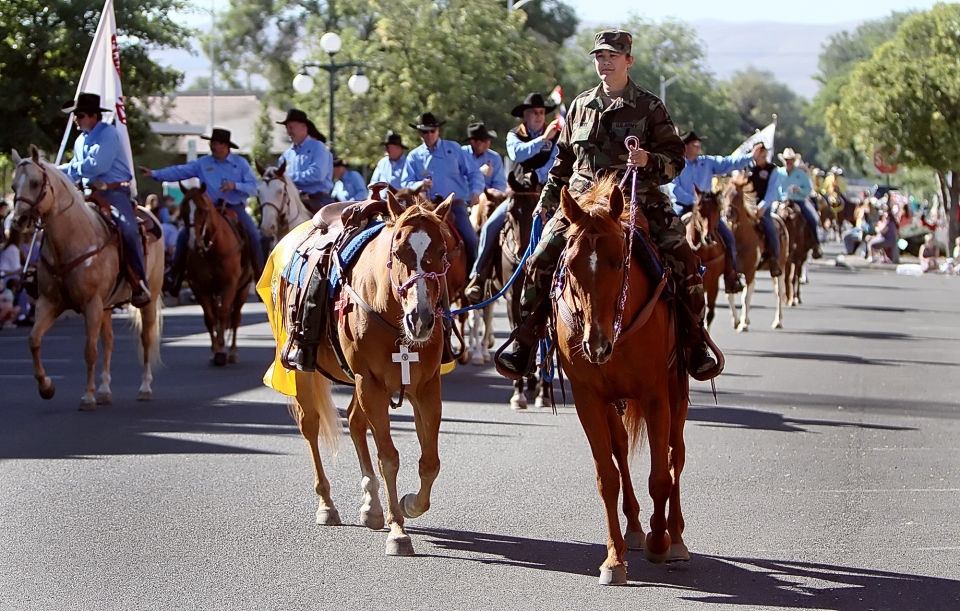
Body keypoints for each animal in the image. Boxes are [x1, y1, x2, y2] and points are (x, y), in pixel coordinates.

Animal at [10, 147, 163, 412]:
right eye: (12, 186)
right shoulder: (49, 302)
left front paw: (87, 397)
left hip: (148, 298)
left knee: (146, 338)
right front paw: (46, 387)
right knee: (109, 341)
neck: (73, 239)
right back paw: (104, 390)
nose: (18, 220)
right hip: (107, 305)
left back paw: (144, 388)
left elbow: (90, 350)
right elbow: (34, 340)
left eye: (35, 182)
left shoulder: (91, 303)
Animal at [180, 184, 253, 366]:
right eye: (183, 210)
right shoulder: (199, 287)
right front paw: (215, 351)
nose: (193, 243)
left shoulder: (230, 285)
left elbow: (224, 313)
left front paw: (221, 349)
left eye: (202, 210)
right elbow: (210, 318)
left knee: (235, 318)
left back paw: (232, 352)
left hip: (243, 288)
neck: (212, 251)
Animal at [260, 194, 456, 556]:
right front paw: (398, 531)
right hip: (307, 374)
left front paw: (409, 505)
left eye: (442, 251)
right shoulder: (372, 385)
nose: (420, 319)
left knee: (353, 421)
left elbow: (430, 462)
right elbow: (388, 458)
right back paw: (327, 504)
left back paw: (372, 507)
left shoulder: (426, 387)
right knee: (311, 426)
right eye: (398, 251)